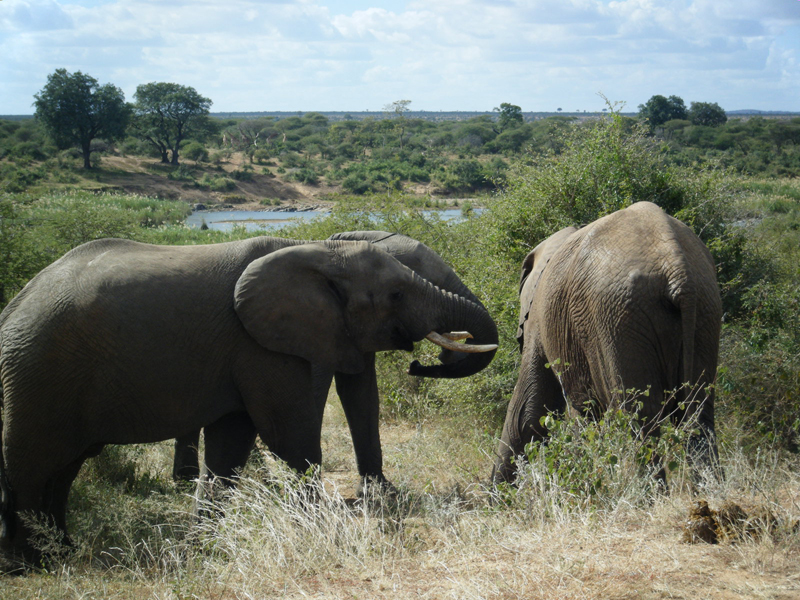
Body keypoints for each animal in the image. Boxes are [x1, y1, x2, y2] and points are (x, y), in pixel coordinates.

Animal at [171, 231, 498, 493]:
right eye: (398, 294)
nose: (415, 365)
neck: (330, 247)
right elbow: (313, 399)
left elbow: (362, 395)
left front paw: (379, 491)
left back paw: (187, 480)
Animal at [492, 201, 722, 485]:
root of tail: (676, 267)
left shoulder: (539, 318)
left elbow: (528, 410)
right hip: (704, 309)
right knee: (699, 415)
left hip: (617, 316)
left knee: (636, 420)